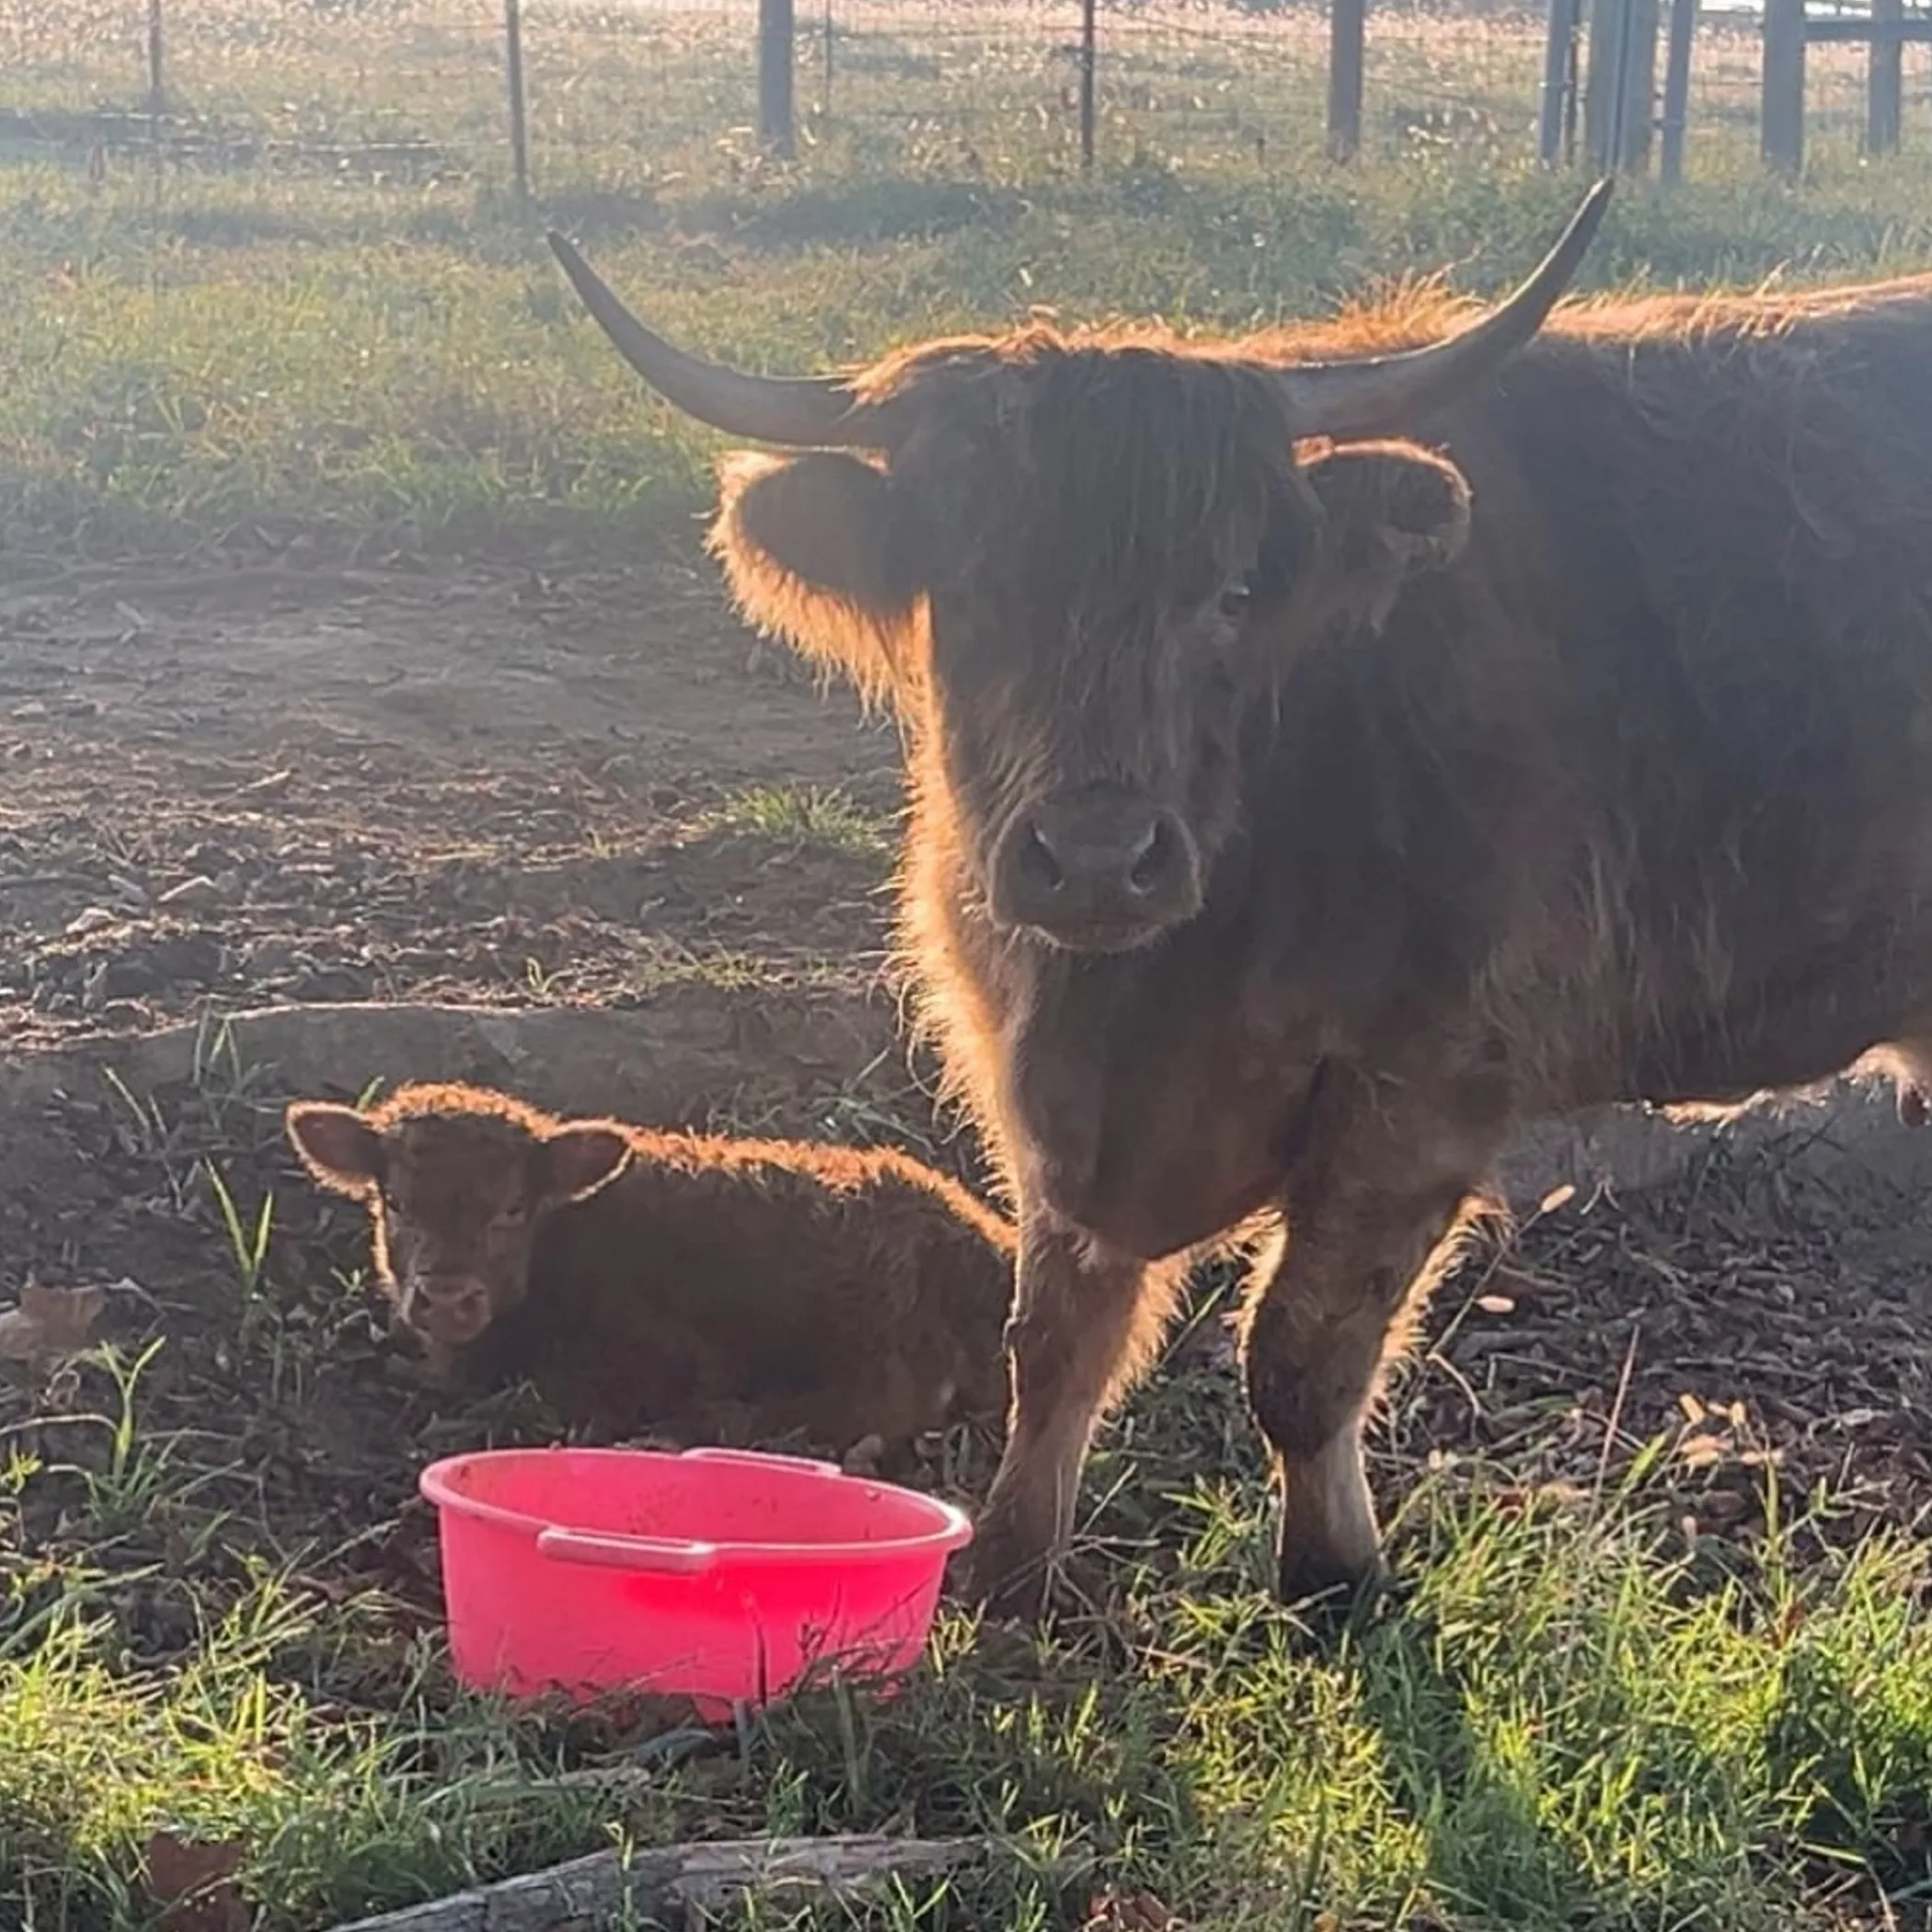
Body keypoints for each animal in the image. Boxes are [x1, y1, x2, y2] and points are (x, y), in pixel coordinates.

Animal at [544, 181, 1932, 1619]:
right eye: (973, 596)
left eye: (1232, 593)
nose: (1098, 857)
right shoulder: (1035, 1091)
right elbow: (1055, 1336)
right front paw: (1010, 1558)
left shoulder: (1423, 1087)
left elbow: (1300, 1353)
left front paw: (1334, 1573)